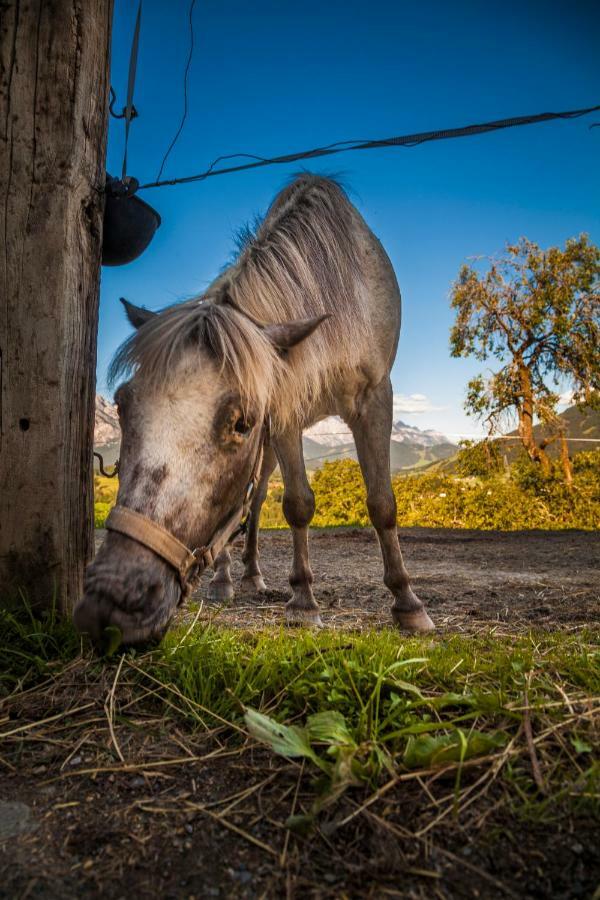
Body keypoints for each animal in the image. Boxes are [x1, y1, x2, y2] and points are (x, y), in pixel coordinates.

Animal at [75, 172, 434, 644]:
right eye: (121, 406)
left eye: (241, 422)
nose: (109, 601)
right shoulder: (284, 412)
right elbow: (298, 503)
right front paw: (303, 601)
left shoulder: (374, 397)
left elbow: (382, 504)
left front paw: (408, 603)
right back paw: (228, 578)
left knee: (259, 496)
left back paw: (251, 575)